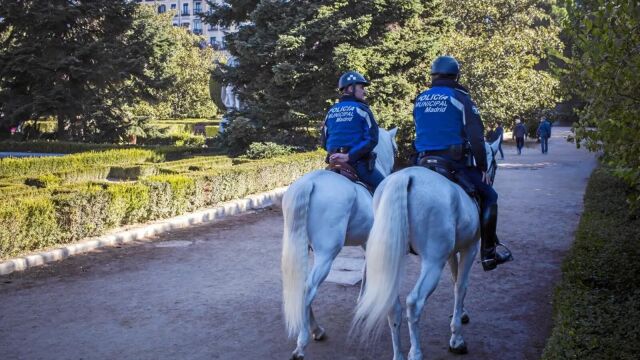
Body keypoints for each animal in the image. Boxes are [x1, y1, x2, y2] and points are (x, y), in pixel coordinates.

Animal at [282, 128, 398, 358]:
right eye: (396, 149)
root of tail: (310, 183)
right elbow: (367, 269)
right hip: (327, 253)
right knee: (308, 289)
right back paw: (303, 342)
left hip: (300, 247)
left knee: (301, 286)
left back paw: (316, 329)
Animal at [356, 139, 500, 360]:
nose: (489, 177)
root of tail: (405, 177)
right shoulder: (470, 248)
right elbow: (461, 285)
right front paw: (456, 338)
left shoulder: (451, 252)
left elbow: (455, 279)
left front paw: (462, 313)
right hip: (433, 263)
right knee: (414, 303)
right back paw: (415, 352)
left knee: (393, 305)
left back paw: (398, 354)